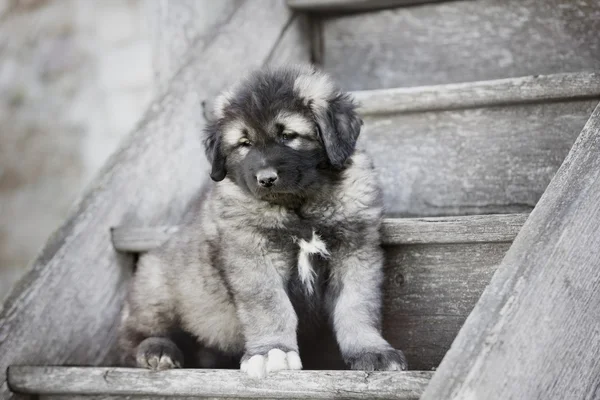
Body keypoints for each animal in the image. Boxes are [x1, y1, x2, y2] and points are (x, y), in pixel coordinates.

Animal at [117, 64, 408, 376]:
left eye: (288, 135)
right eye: (245, 143)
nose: (266, 179)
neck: (299, 206)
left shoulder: (355, 251)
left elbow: (356, 304)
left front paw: (372, 350)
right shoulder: (253, 256)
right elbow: (270, 306)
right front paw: (272, 351)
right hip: (158, 284)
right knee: (135, 335)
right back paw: (157, 350)